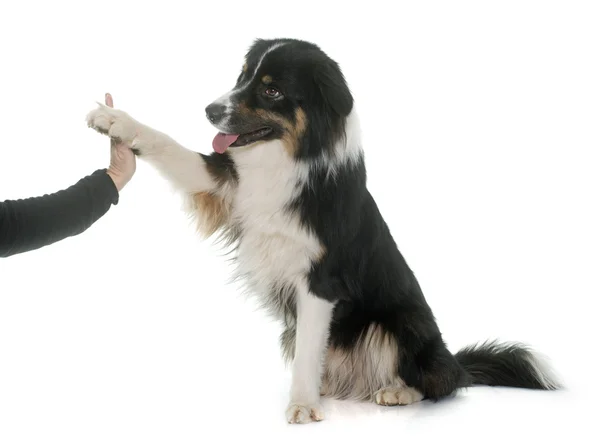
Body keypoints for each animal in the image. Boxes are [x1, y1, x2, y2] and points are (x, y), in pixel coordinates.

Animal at [85, 36, 564, 422]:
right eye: (242, 76)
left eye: (272, 89)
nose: (209, 110)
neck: (286, 159)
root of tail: (455, 359)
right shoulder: (225, 183)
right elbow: (166, 144)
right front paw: (115, 121)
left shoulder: (320, 280)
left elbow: (309, 351)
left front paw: (301, 405)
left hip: (402, 323)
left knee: (439, 381)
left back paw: (396, 391)